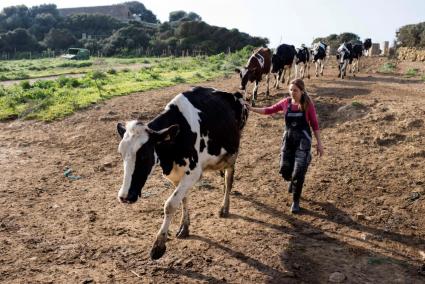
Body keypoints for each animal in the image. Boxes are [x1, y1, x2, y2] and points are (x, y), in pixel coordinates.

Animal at [116, 87, 248, 260]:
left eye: (144, 155)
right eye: (121, 153)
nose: (125, 197)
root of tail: (235, 94)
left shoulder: (193, 173)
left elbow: (170, 204)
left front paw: (158, 245)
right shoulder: (176, 175)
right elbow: (183, 199)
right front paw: (184, 227)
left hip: (233, 153)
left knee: (228, 179)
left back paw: (224, 207)